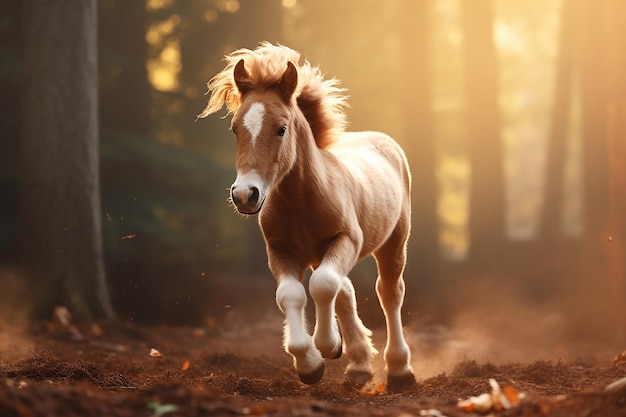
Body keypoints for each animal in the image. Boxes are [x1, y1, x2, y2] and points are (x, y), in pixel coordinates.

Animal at [197, 43, 414, 390]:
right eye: (235, 129)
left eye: (281, 129)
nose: (245, 194)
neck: (302, 202)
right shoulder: (281, 250)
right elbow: (292, 294)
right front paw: (309, 362)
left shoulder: (346, 239)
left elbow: (323, 285)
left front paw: (327, 345)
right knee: (346, 290)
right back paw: (359, 367)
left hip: (394, 241)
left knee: (389, 292)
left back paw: (399, 369)